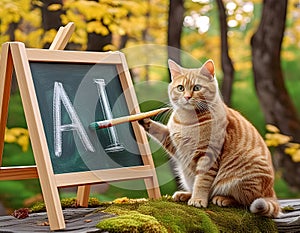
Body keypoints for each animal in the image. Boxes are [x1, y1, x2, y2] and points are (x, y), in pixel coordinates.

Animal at [140, 59, 282, 218]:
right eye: (180, 88)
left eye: (196, 88)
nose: (187, 97)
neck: (187, 120)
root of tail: (272, 193)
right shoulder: (175, 144)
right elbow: (159, 130)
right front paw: (144, 120)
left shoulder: (208, 155)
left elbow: (202, 181)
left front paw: (198, 200)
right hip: (186, 173)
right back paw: (185, 194)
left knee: (245, 201)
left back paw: (222, 199)